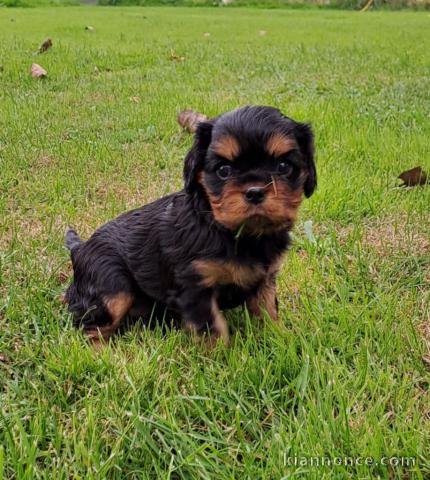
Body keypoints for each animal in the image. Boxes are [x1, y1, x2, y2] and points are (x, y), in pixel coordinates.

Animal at [65, 105, 318, 344]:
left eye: (284, 167)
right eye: (223, 170)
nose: (255, 191)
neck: (236, 234)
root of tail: (80, 247)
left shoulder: (265, 280)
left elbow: (268, 313)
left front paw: (280, 340)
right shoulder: (194, 287)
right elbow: (212, 329)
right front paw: (221, 358)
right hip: (111, 287)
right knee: (91, 329)